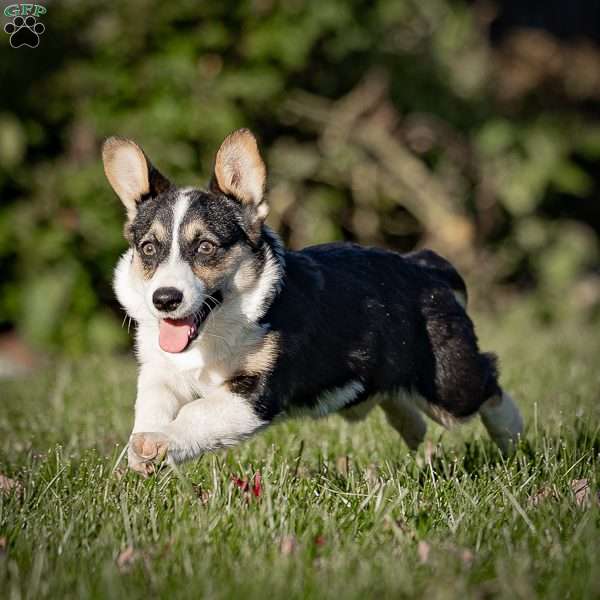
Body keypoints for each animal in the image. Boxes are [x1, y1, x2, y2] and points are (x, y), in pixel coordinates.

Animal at [101, 129, 524, 476]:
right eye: (149, 249)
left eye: (205, 247)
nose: (165, 300)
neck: (216, 330)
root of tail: (425, 266)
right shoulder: (161, 372)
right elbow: (151, 406)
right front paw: (141, 451)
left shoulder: (253, 395)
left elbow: (196, 413)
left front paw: (160, 444)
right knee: (395, 398)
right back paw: (414, 432)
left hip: (447, 384)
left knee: (489, 384)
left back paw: (514, 440)